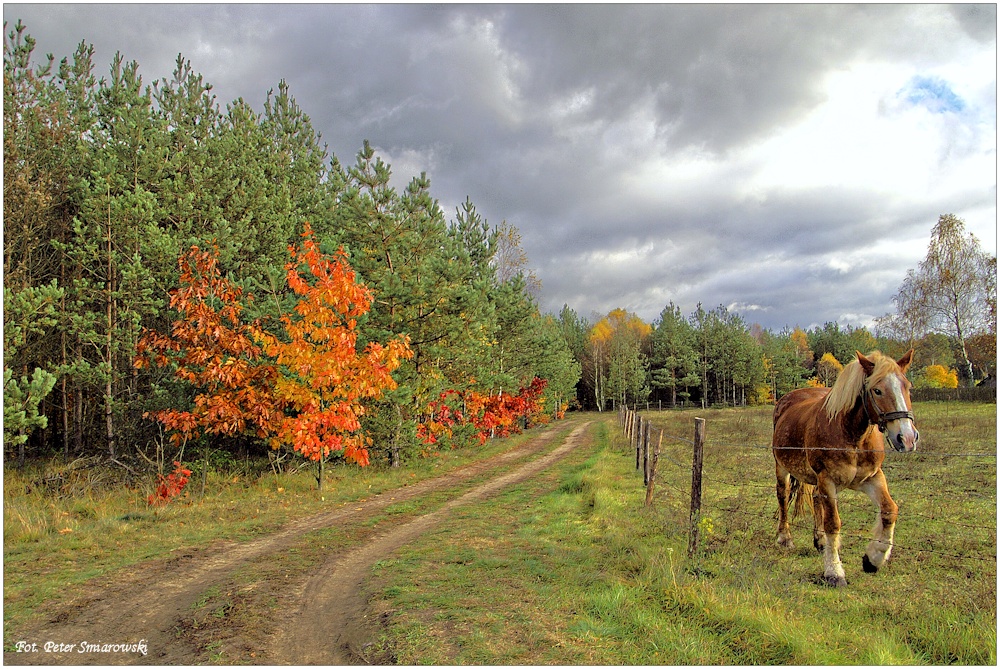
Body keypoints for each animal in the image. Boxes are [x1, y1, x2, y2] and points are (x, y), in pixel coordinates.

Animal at [776, 350, 916, 584]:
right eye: (877, 390)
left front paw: (873, 559)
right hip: (782, 468)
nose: (906, 438)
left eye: (907, 386)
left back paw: (820, 541)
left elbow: (889, 510)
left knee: (816, 499)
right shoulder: (827, 479)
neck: (852, 435)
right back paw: (784, 538)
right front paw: (834, 572)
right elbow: (833, 522)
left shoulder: (872, 477)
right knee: (783, 496)